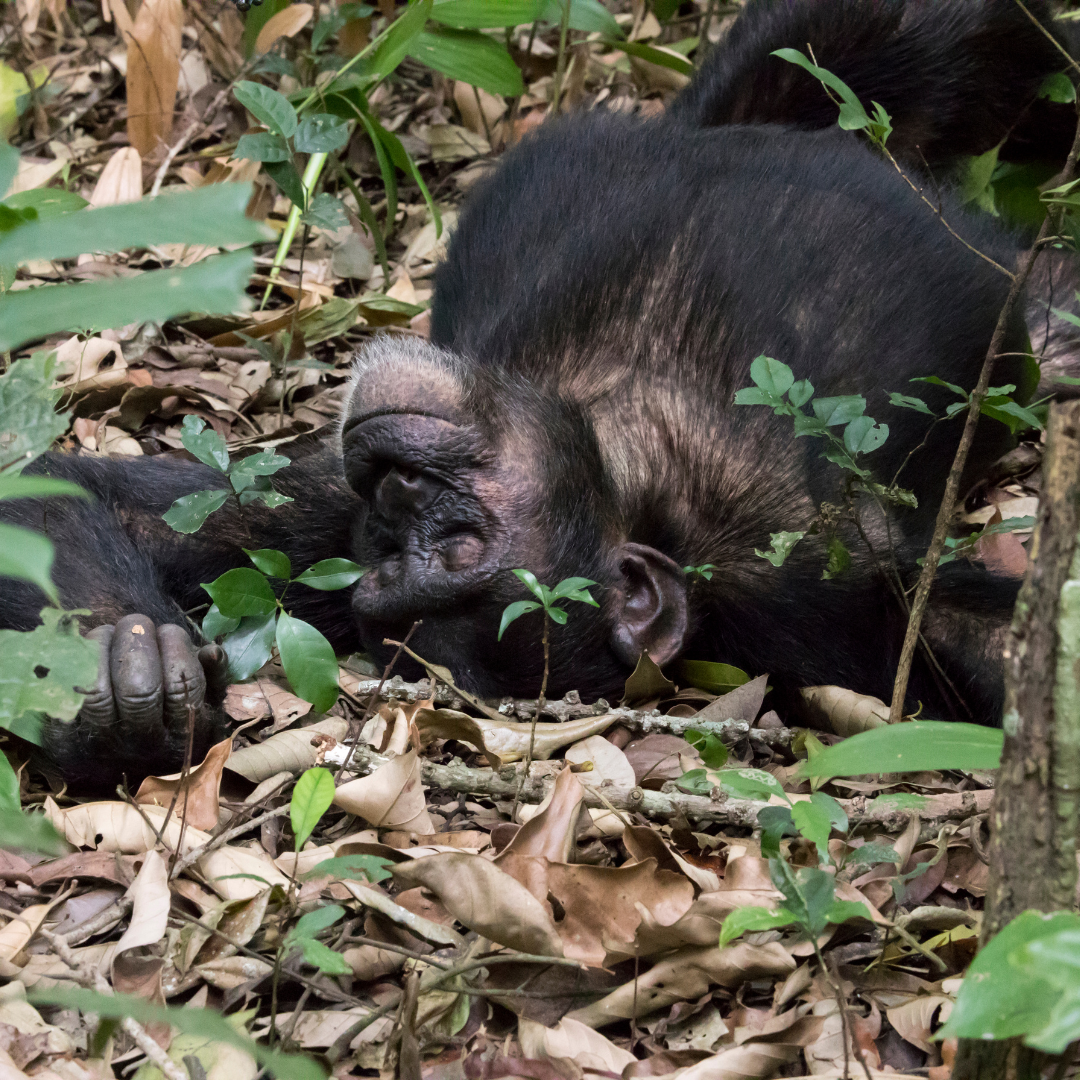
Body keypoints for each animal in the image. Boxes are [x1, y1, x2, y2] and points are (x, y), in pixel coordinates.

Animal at [0, 0, 1069, 788]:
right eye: (384, 556)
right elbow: (81, 504)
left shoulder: (835, 578)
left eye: (457, 544)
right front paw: (120, 680)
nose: (398, 497)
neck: (635, 449)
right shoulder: (315, 516)